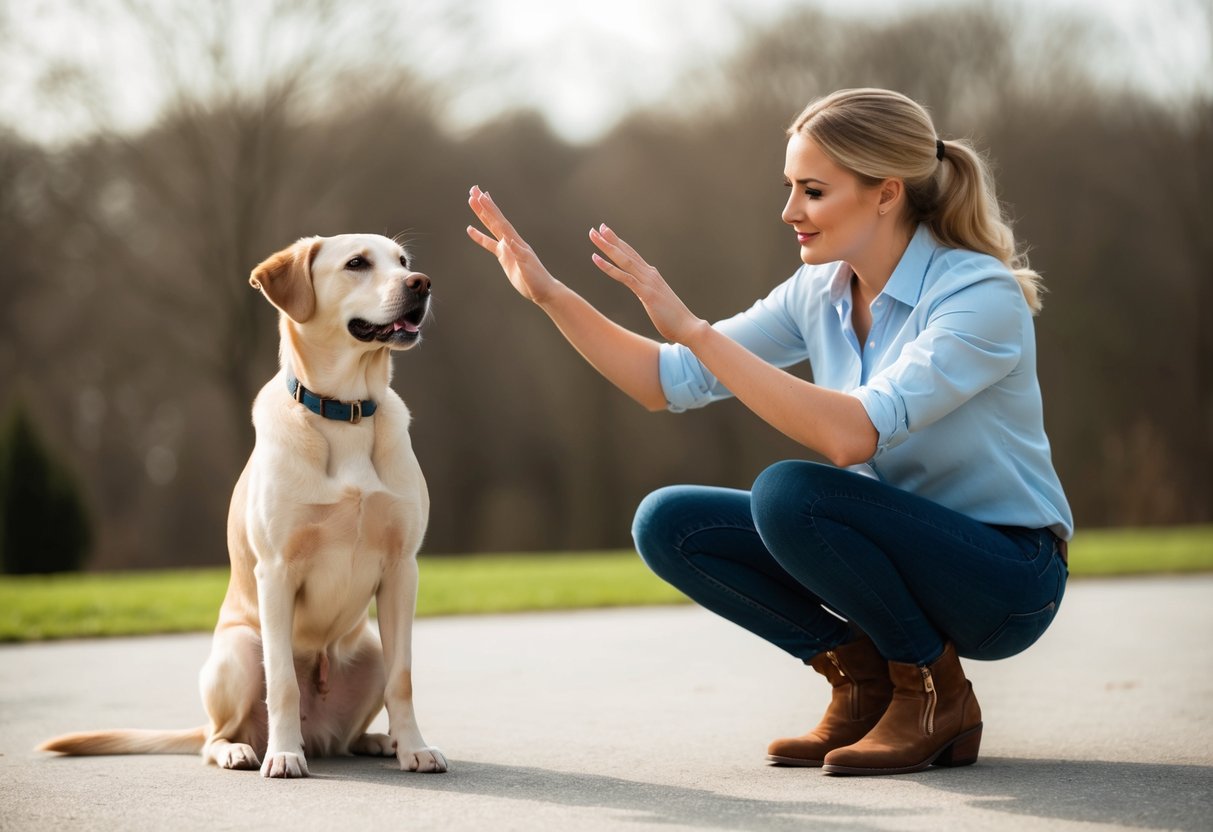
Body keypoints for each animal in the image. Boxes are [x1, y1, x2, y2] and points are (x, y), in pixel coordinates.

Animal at [37, 236, 448, 781]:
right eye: (357, 263)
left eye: (402, 262)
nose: (421, 283)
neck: (345, 412)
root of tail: (320, 734)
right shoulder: (276, 571)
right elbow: (284, 683)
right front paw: (284, 755)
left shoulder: (403, 569)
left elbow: (403, 679)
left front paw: (414, 748)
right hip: (239, 650)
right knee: (216, 735)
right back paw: (246, 750)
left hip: (369, 650)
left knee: (352, 728)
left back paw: (377, 741)